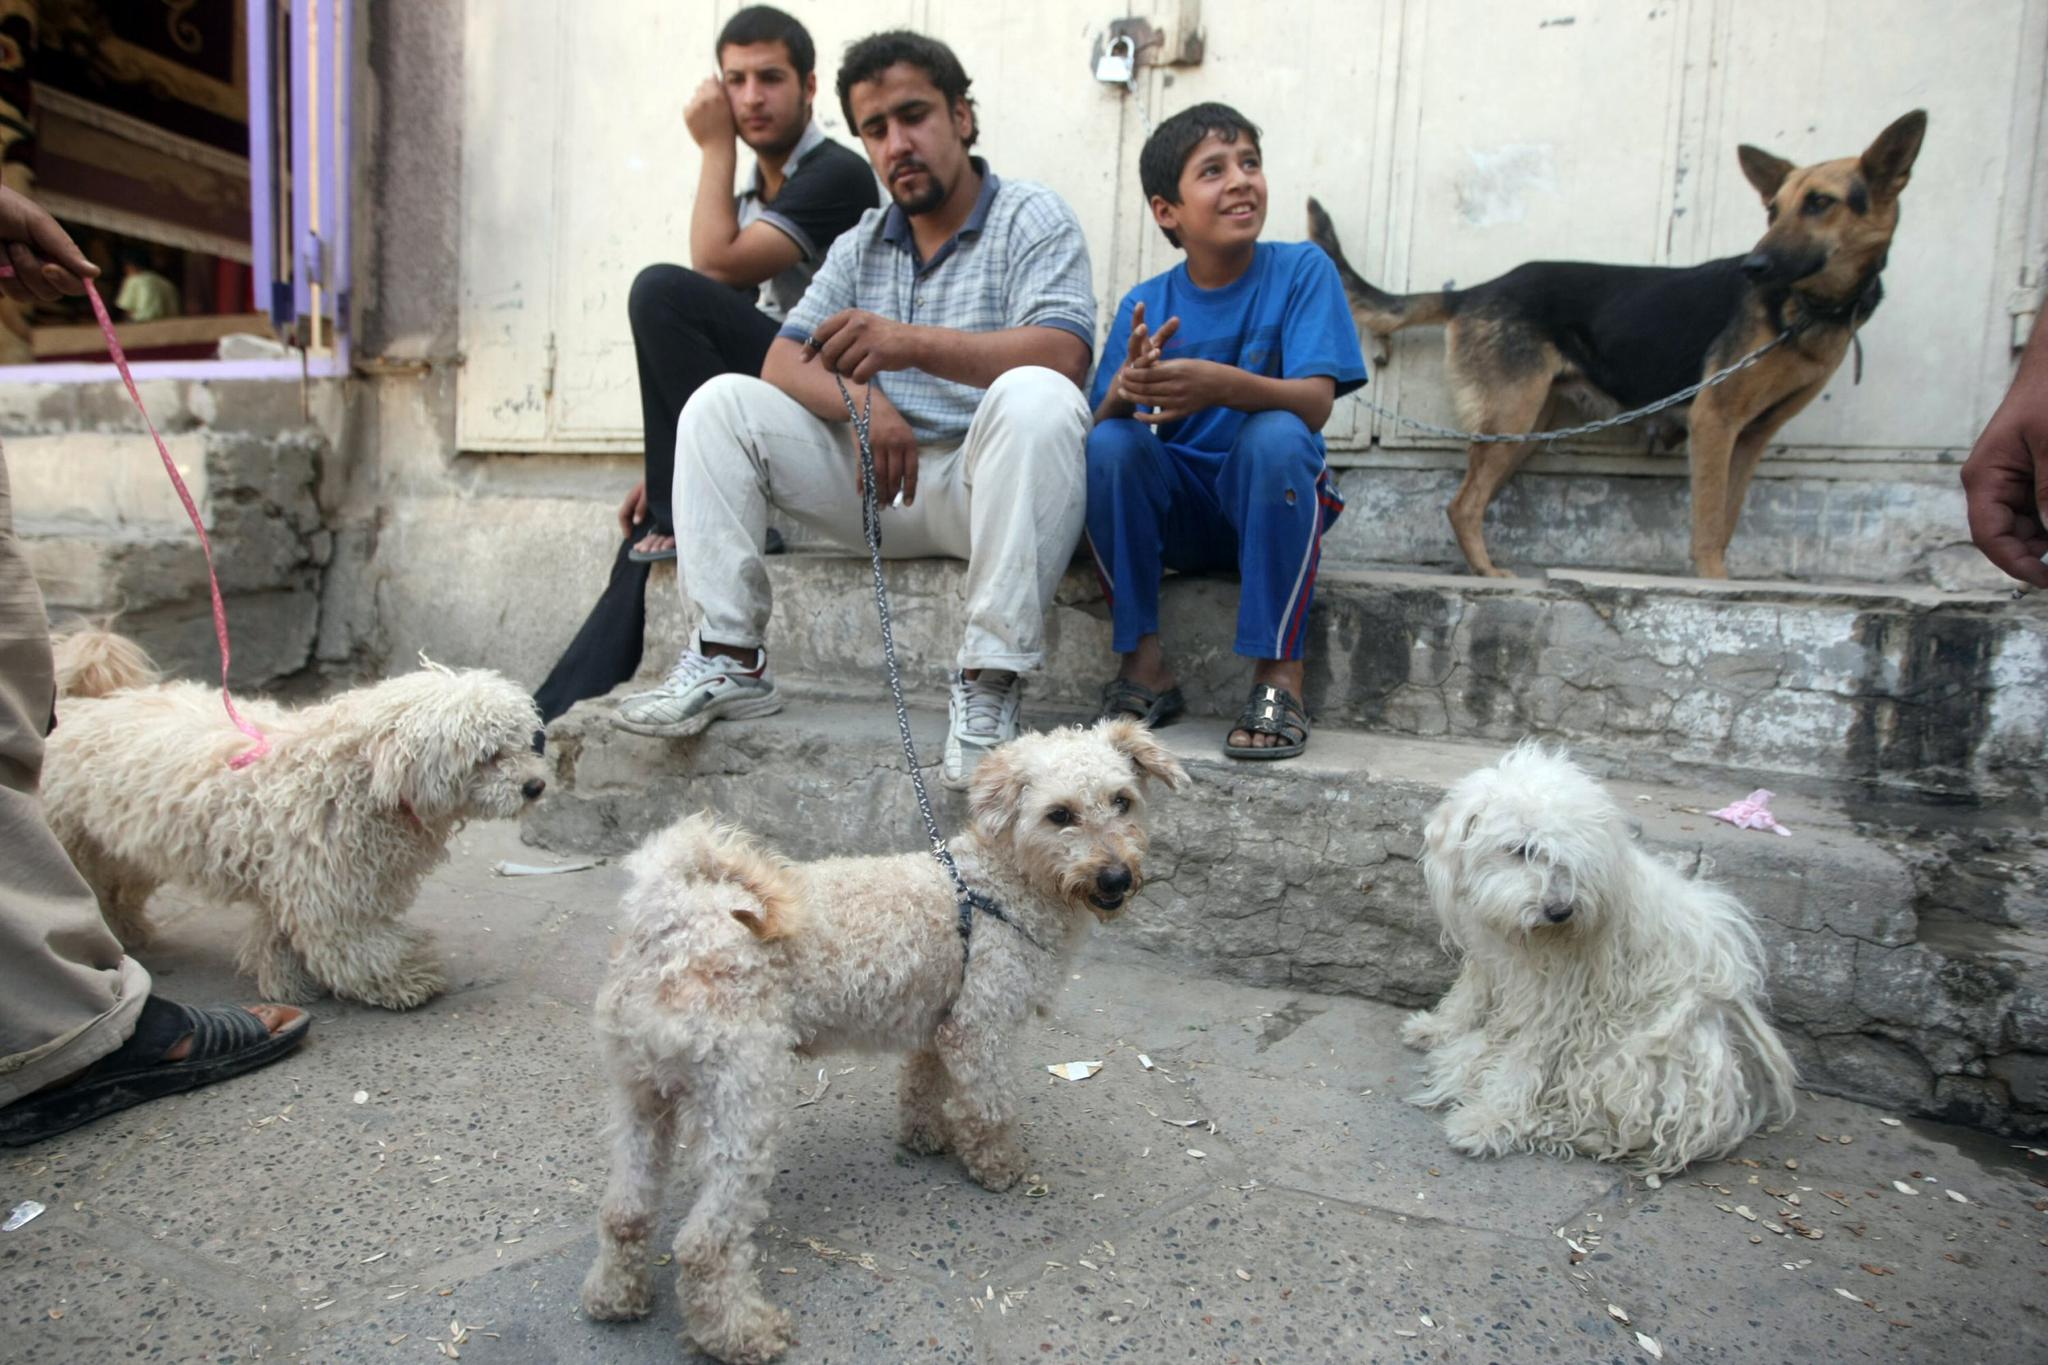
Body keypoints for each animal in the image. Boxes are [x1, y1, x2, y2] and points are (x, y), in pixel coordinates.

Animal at [44, 626, 548, 1002]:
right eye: (488, 755)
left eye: (524, 742)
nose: (535, 786)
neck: (364, 777)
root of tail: (72, 707)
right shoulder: (329, 885)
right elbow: (354, 943)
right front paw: (404, 978)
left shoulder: (294, 877)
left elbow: (279, 936)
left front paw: (285, 984)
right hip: (76, 843)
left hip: (124, 851)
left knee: (116, 893)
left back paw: (129, 932)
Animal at [577, 720, 1187, 1358]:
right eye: (1059, 815)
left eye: (1123, 801)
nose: (1116, 877)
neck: (996, 886)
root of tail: (668, 922)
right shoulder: (982, 1026)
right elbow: (989, 1108)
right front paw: (997, 1168)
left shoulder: (938, 1022)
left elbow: (921, 1085)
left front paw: (925, 1138)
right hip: (743, 1102)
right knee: (704, 1242)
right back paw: (744, 1332)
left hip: (640, 1097)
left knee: (624, 1212)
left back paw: (615, 1298)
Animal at [1310, 109, 1916, 573]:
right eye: (1773, 210)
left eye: (1820, 203)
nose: (1756, 266)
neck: (1807, 308)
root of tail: (1476, 291)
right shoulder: (1715, 417)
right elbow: (1708, 516)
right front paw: (1712, 585)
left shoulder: (1753, 434)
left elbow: (1728, 515)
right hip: (1511, 412)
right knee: (1462, 504)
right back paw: (1487, 573)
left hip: (1528, 424)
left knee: (1470, 501)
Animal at [1400, 749, 1802, 1178]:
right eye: (1521, 849)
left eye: (1578, 858)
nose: (1560, 910)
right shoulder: (1490, 959)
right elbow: (1470, 997)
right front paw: (1436, 1028)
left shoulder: (1561, 1004)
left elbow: (1525, 1061)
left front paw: (1490, 1117)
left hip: (1630, 1057)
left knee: (1615, 1124)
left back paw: (1548, 1125)